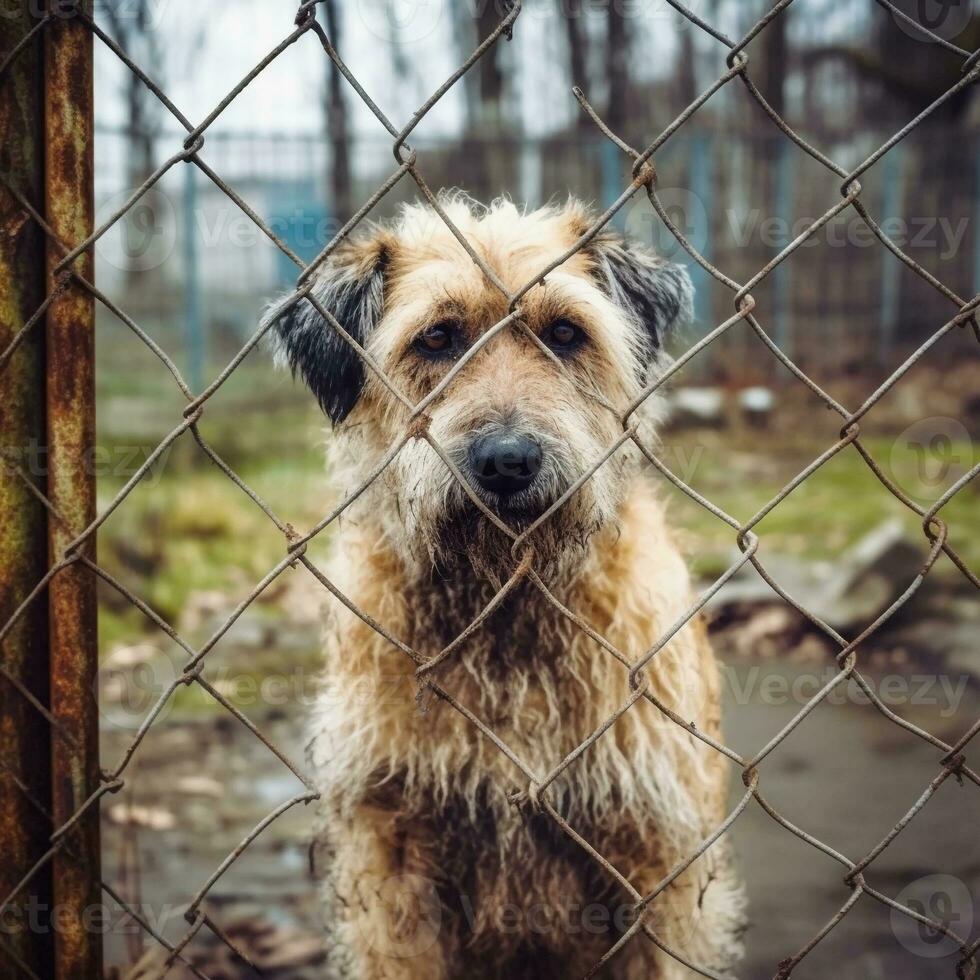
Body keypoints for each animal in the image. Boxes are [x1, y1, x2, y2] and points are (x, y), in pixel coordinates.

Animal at [268, 195, 744, 976]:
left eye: (565, 333)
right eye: (437, 338)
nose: (508, 462)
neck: (507, 605)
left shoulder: (656, 862)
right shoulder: (391, 860)